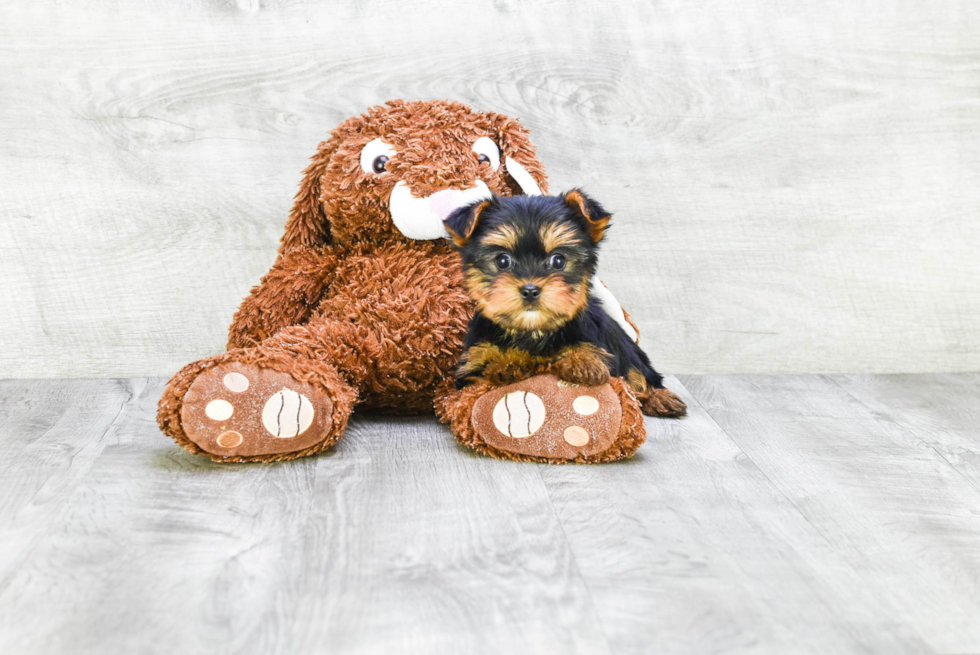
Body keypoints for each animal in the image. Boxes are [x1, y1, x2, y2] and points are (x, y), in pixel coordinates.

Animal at [446, 188, 688, 420]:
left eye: (558, 260)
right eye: (503, 260)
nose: (530, 290)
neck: (532, 332)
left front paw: (582, 362)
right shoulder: (473, 363)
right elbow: (485, 371)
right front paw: (509, 363)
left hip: (624, 343)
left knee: (638, 372)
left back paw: (660, 398)